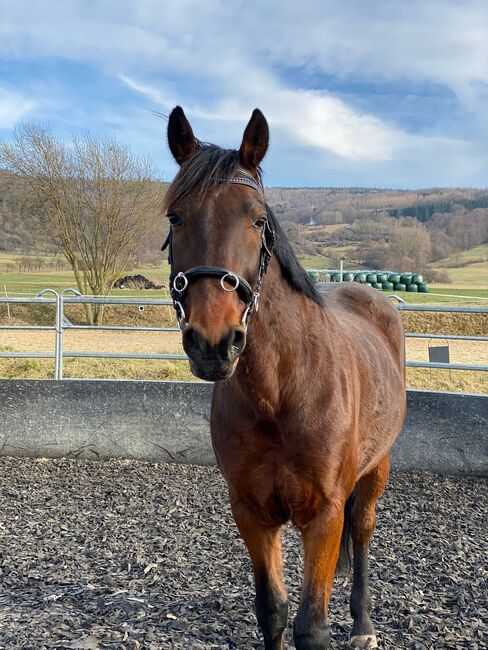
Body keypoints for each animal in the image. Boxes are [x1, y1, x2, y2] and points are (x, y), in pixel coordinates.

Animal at [162, 107, 406, 648]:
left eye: (257, 219)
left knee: (363, 531)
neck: (281, 391)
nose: (213, 341)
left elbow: (311, 627)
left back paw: (363, 625)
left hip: (375, 471)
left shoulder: (324, 516)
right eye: (175, 216)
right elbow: (272, 611)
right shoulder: (252, 513)